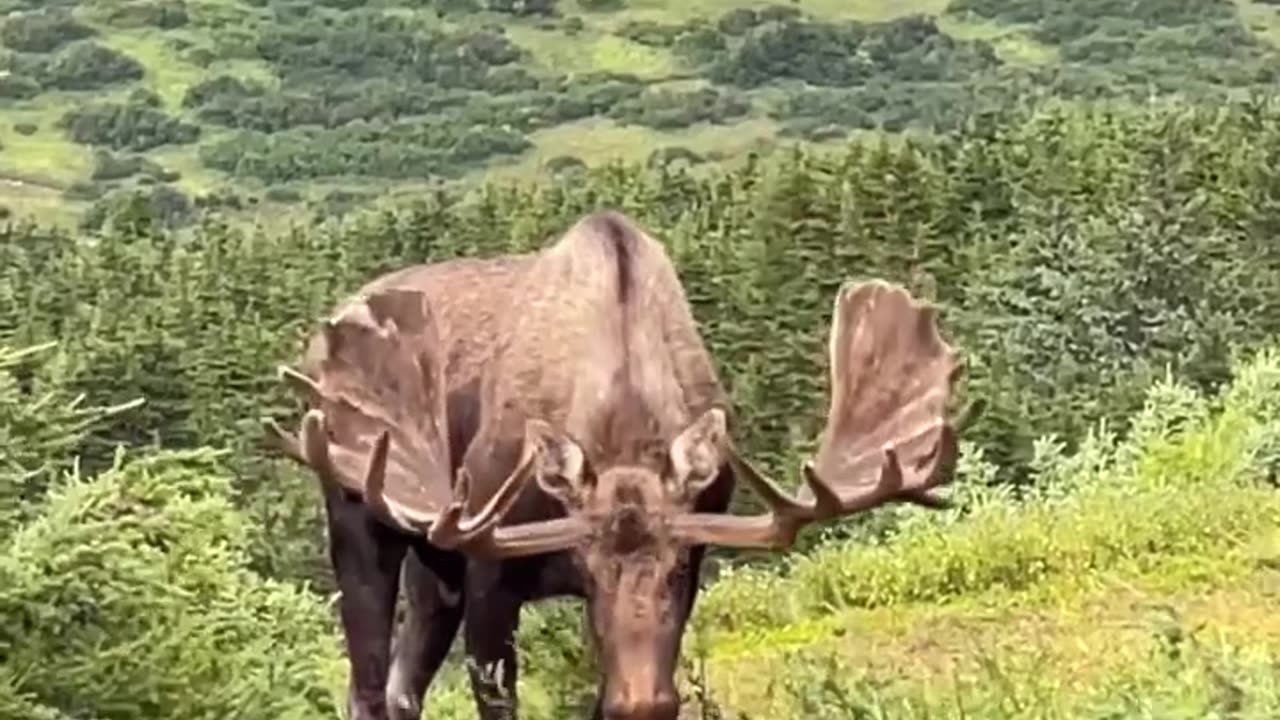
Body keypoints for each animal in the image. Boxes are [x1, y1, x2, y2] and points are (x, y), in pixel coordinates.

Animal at [267, 208, 962, 717]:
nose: (644, 704)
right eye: (586, 566)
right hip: (362, 521)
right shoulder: (488, 560)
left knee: (401, 686)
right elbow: (498, 698)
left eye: (680, 567)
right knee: (366, 686)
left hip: (433, 567)